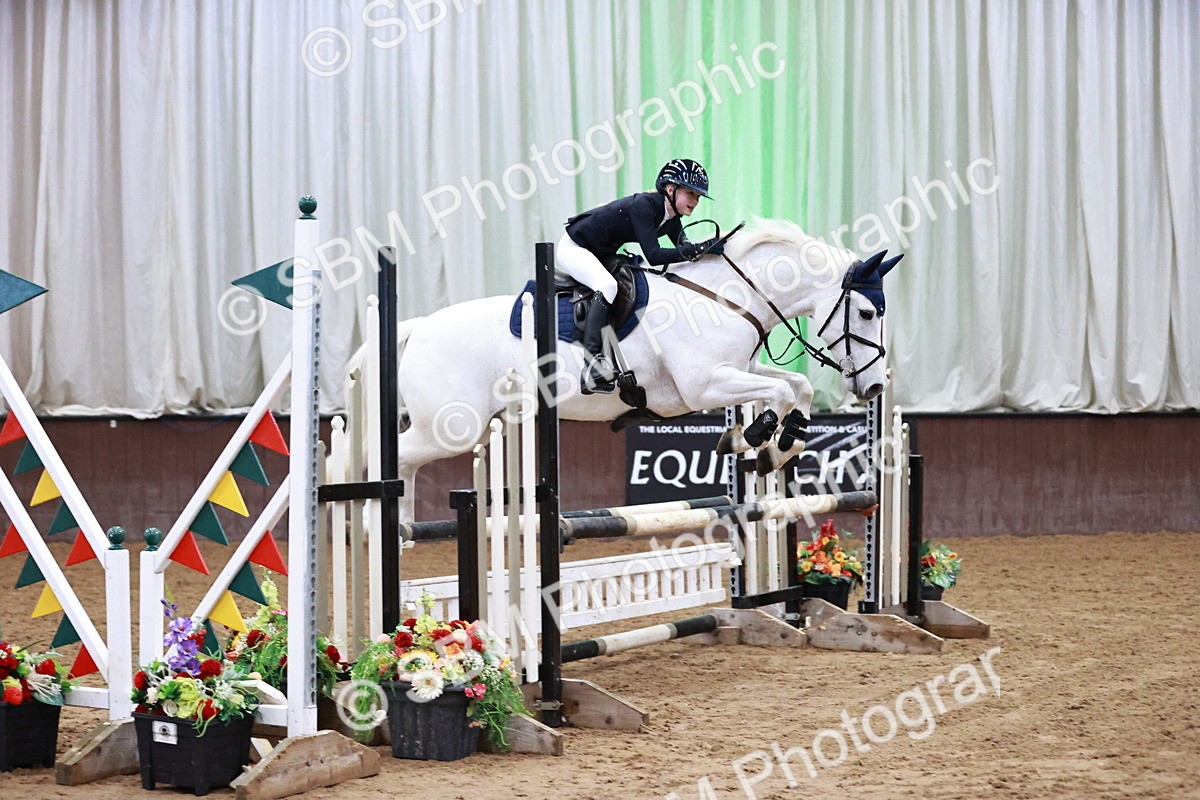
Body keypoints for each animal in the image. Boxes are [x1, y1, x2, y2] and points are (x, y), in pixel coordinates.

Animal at [388, 218, 901, 520]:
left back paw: (404, 529)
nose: (876, 386)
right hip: (452, 427)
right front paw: (756, 439)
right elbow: (779, 394)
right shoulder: (704, 387)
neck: (727, 294)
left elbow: (797, 386)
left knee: (405, 463)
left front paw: (775, 445)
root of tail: (420, 327)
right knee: (391, 456)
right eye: (867, 313)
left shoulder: (738, 369)